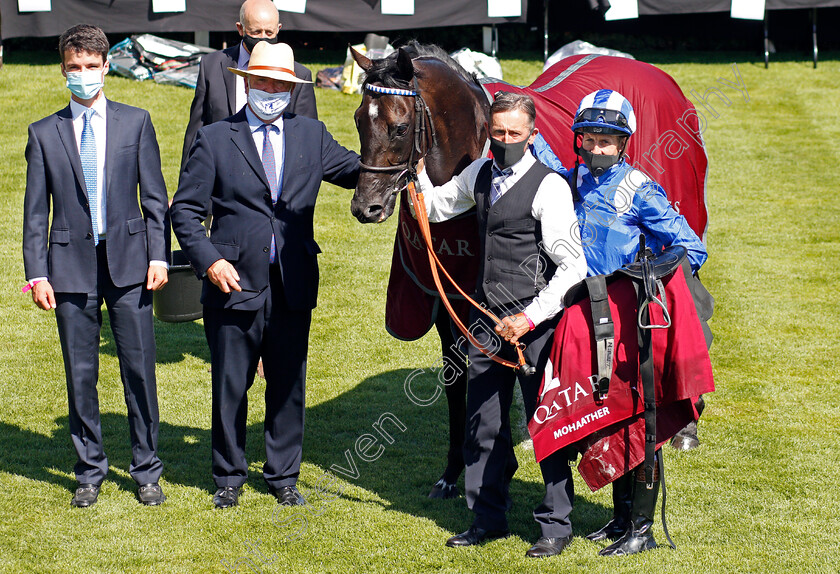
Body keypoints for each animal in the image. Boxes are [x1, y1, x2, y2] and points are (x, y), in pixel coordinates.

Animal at [348, 41, 708, 500]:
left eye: (398, 127)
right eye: (359, 120)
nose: (366, 207)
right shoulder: (449, 301)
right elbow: (458, 381)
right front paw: (453, 471)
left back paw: (687, 425)